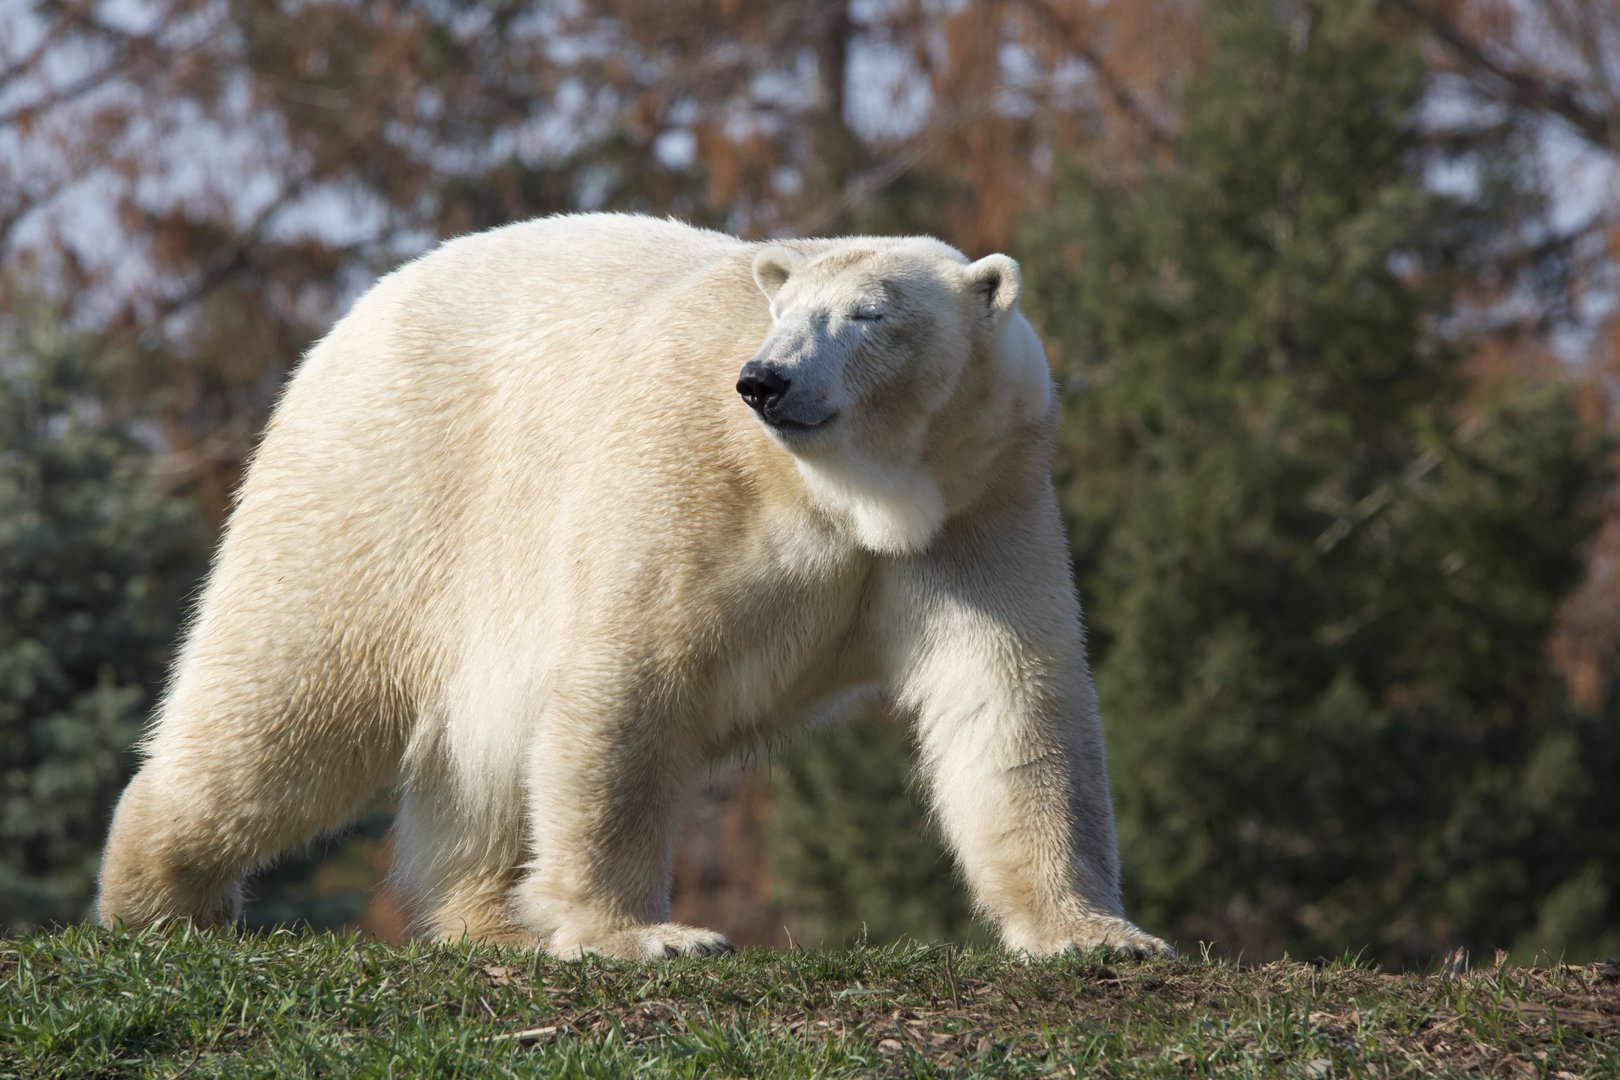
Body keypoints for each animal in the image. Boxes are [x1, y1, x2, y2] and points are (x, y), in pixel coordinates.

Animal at [96, 212, 1171, 959]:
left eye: (870, 315)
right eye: (783, 313)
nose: (767, 380)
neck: (844, 495)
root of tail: (355, 318)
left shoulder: (981, 502)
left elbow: (1009, 701)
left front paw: (1097, 934)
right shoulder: (690, 476)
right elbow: (631, 679)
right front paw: (650, 935)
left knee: (476, 761)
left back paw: (495, 923)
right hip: (385, 486)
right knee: (290, 696)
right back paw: (159, 897)